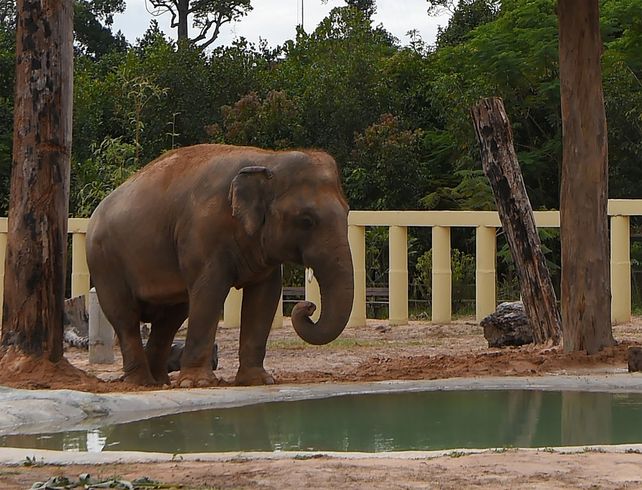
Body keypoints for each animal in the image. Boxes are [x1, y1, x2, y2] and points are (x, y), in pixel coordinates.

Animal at [86, 144, 354, 387]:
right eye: (306, 221)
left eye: (347, 212)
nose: (308, 306)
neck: (268, 158)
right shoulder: (202, 234)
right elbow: (209, 293)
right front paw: (196, 383)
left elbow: (265, 297)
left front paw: (259, 380)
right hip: (105, 263)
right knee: (125, 318)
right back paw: (142, 383)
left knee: (170, 319)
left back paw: (159, 382)